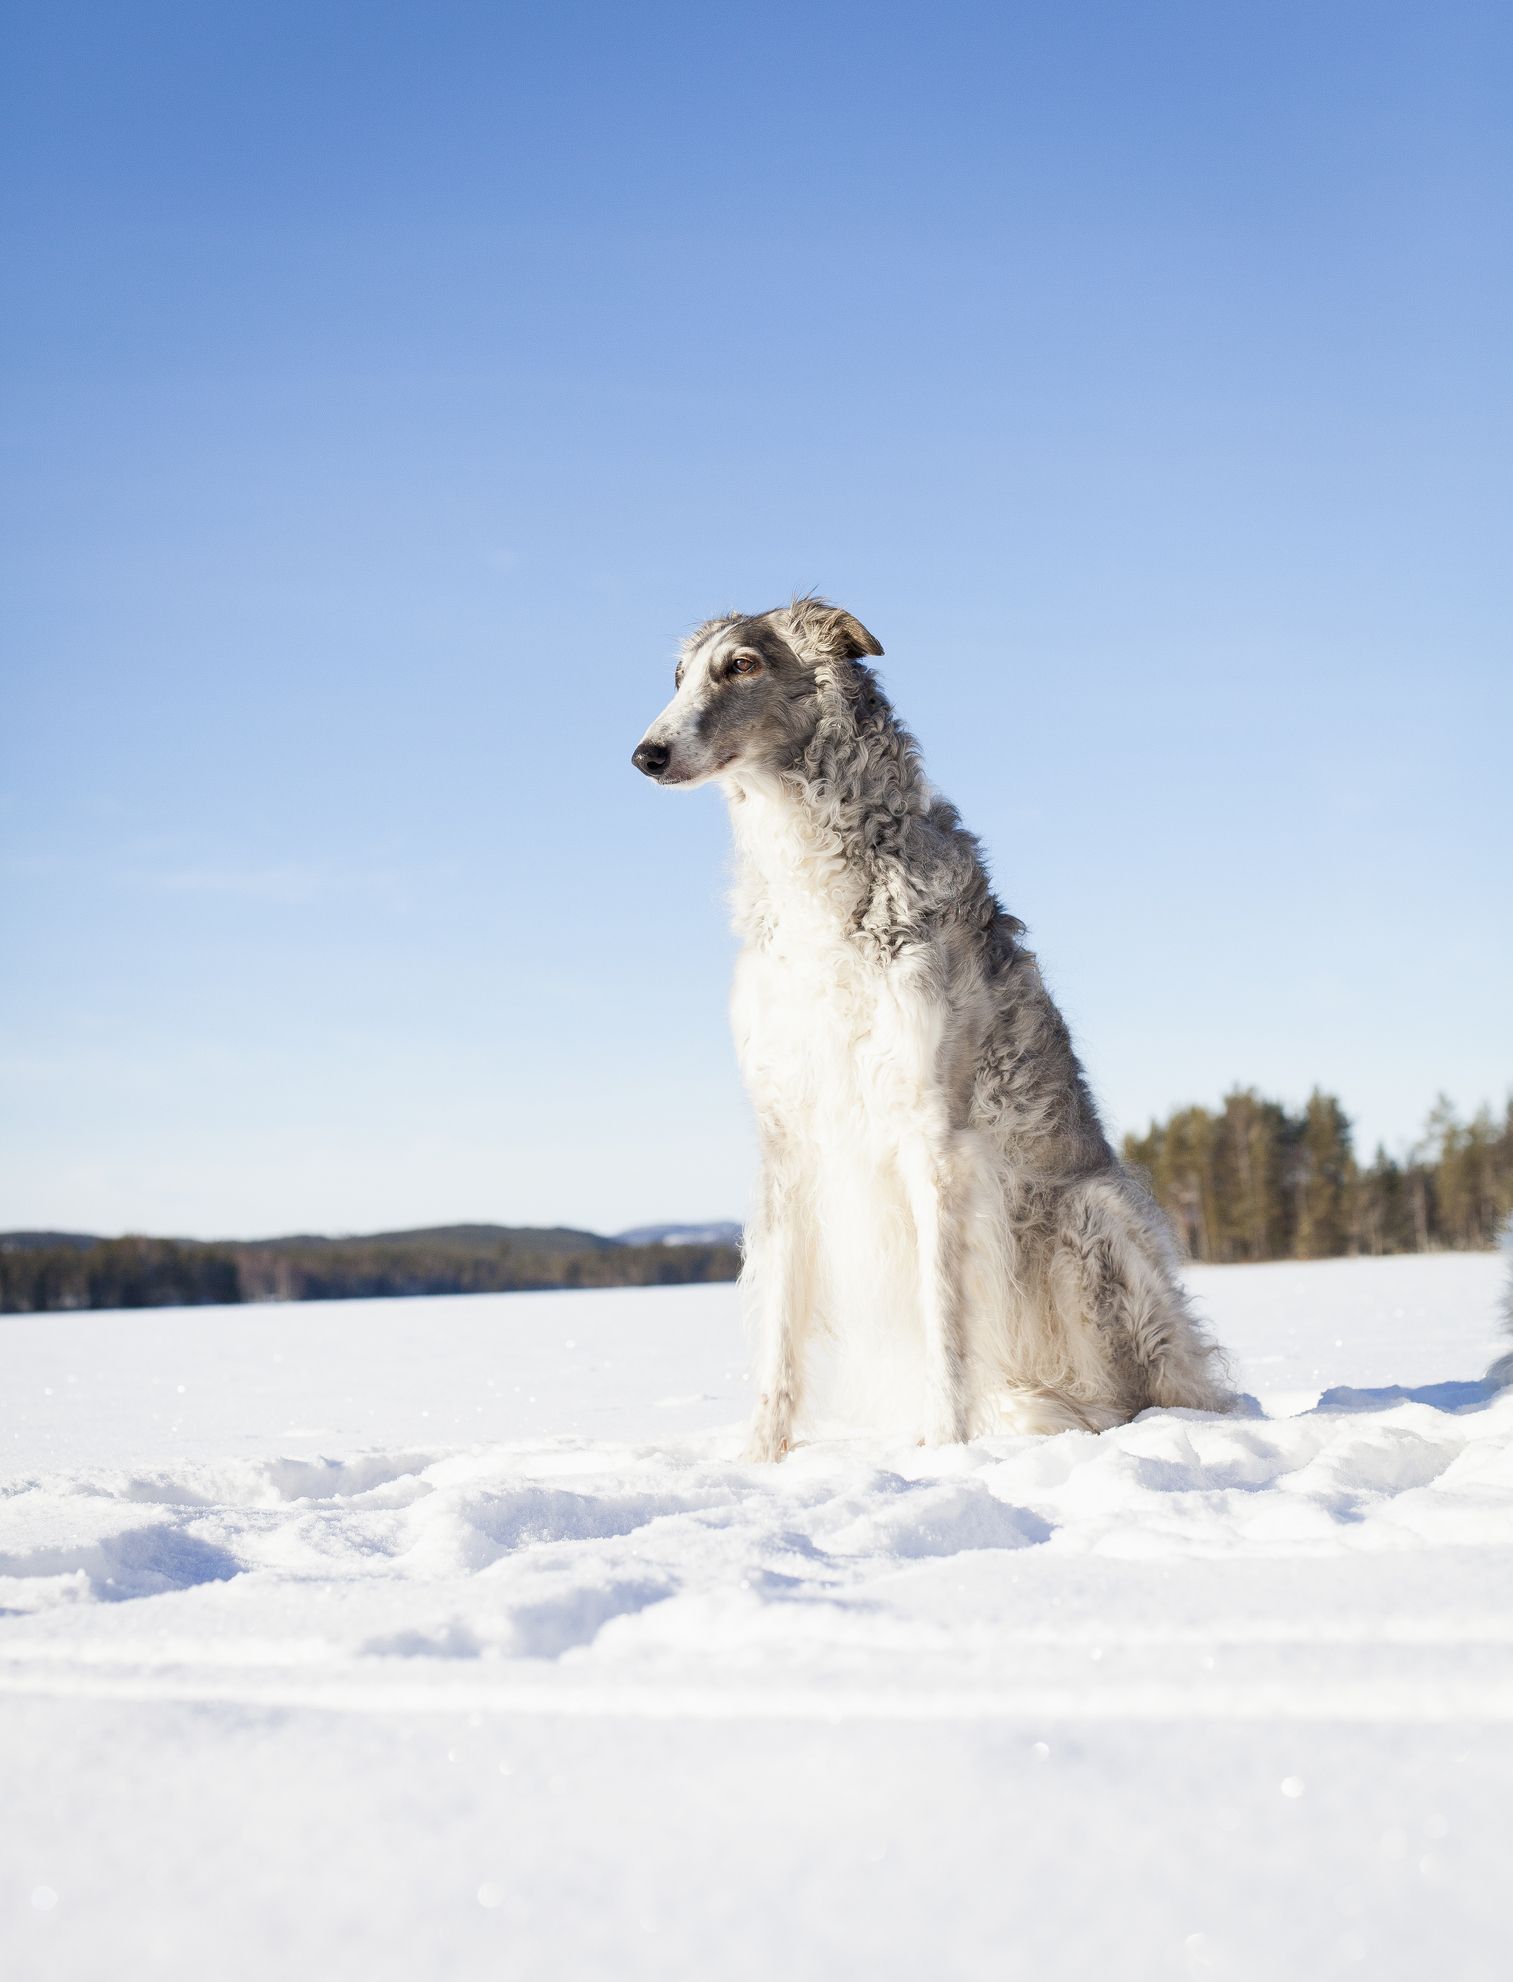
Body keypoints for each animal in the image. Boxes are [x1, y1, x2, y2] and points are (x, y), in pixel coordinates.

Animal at [626, 598, 1229, 1458]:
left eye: (740, 665)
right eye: (676, 678)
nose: (646, 754)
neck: (816, 893)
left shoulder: (934, 1135)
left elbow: (944, 1318)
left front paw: (944, 1451)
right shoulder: (787, 1138)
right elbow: (777, 1339)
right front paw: (760, 1461)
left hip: (1092, 1220)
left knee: (1134, 1398)